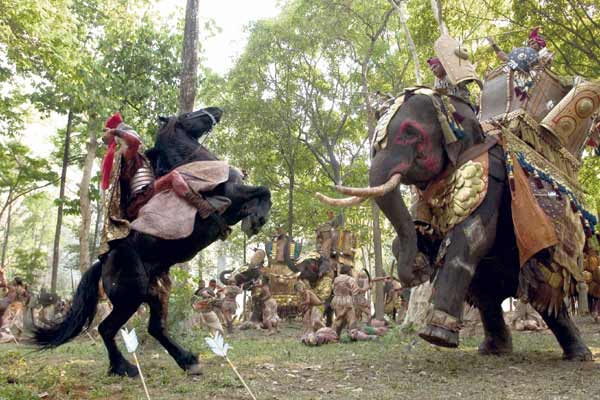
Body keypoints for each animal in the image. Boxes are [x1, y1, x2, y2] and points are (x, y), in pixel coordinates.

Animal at [34, 108, 274, 376]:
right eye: (188, 115)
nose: (215, 110)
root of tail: (104, 262)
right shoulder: (232, 194)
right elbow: (264, 190)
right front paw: (257, 219)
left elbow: (261, 194)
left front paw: (254, 218)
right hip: (130, 297)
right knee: (107, 328)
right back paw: (124, 367)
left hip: (156, 294)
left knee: (155, 328)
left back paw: (187, 361)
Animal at [318, 88, 592, 362]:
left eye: (410, 133)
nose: (414, 276)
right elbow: (425, 234)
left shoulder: (492, 177)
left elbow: (471, 236)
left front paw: (434, 336)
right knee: (487, 296)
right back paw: (494, 349)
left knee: (546, 297)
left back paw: (579, 355)